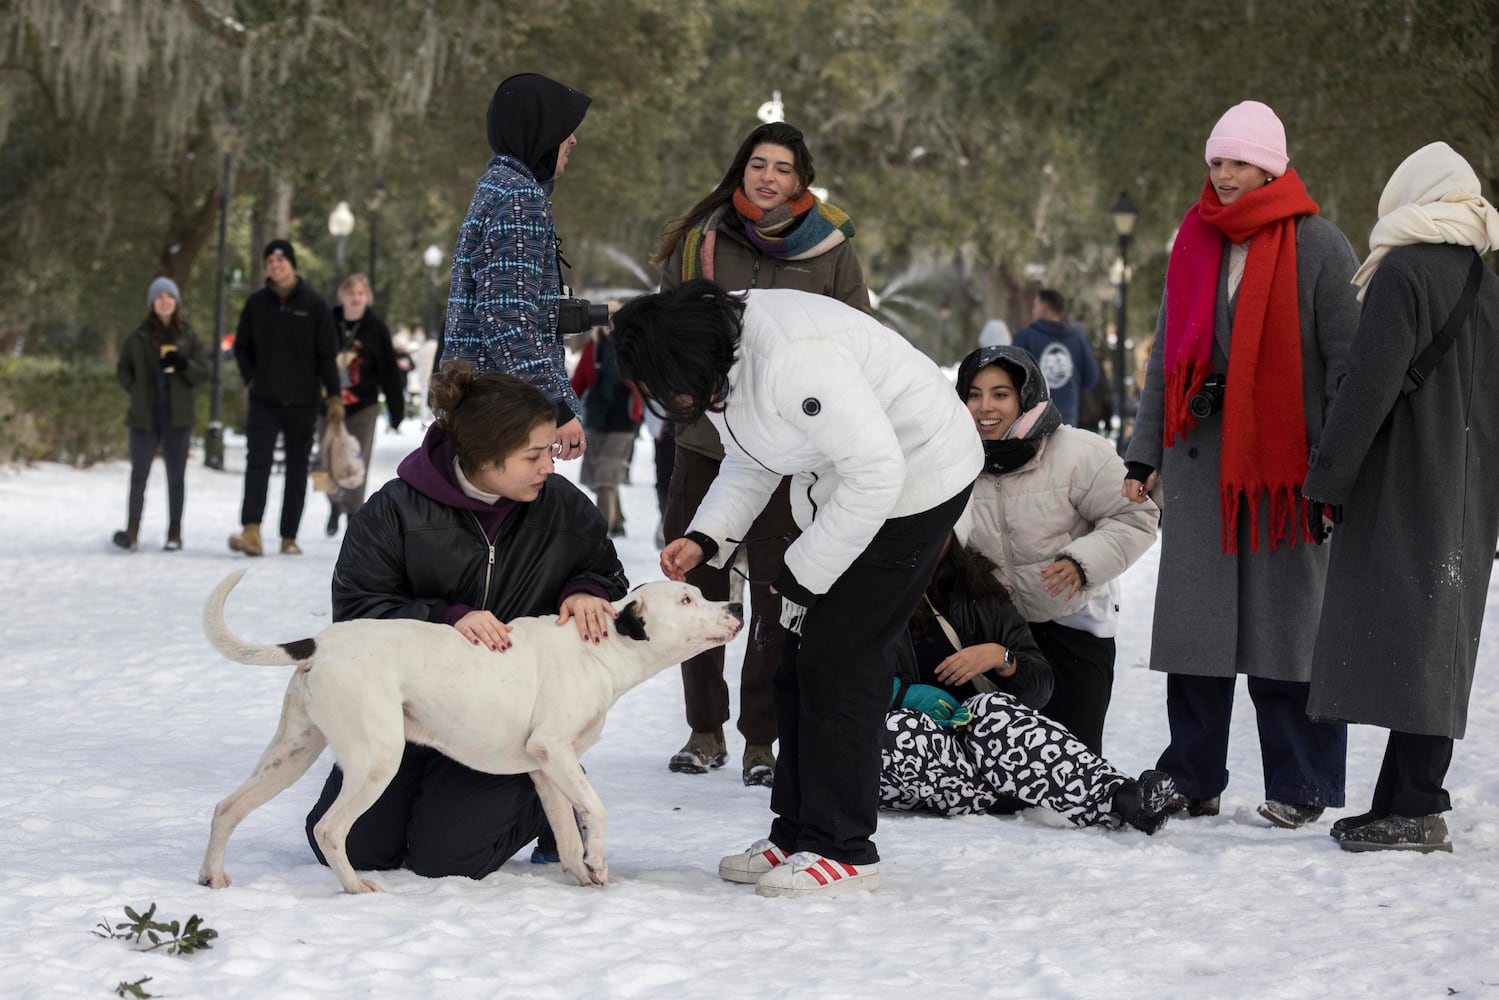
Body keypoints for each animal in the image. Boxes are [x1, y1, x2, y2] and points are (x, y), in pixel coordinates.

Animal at [193, 575, 743, 893]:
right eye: (687, 598)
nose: (737, 607)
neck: (599, 649)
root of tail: (319, 643)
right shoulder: (554, 750)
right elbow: (596, 811)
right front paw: (598, 863)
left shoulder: (546, 768)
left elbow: (567, 834)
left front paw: (583, 874)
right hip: (376, 761)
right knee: (329, 830)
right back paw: (354, 887)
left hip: (289, 755)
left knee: (227, 808)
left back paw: (212, 876)